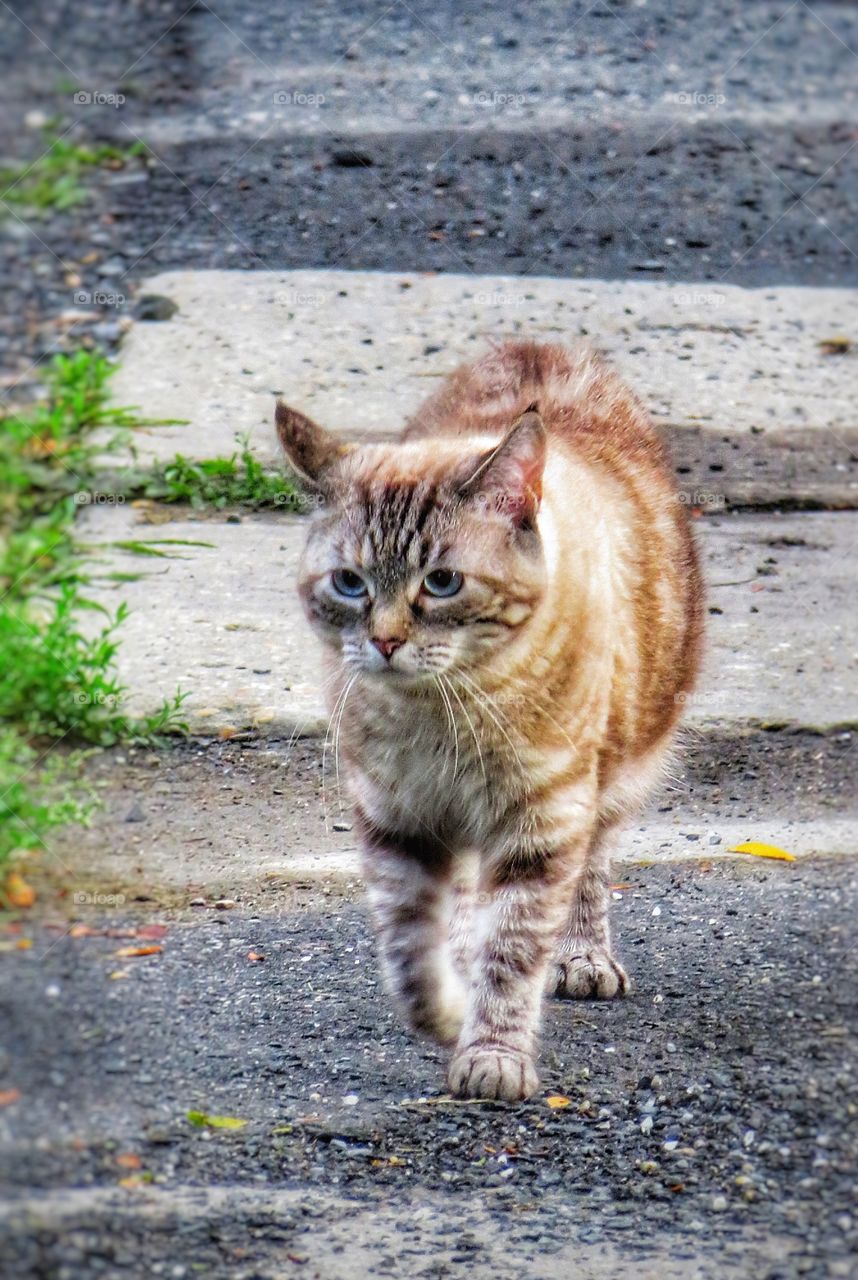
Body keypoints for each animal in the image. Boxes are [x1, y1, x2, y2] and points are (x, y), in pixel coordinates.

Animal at [277, 340, 706, 1100]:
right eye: (350, 584)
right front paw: (449, 1011)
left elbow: (513, 950)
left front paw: (493, 1055)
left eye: (442, 582)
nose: (385, 641)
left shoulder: (545, 817)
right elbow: (409, 954)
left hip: (618, 773)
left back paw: (580, 957)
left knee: (590, 869)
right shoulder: (396, 819)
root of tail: (539, 347)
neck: (443, 714)